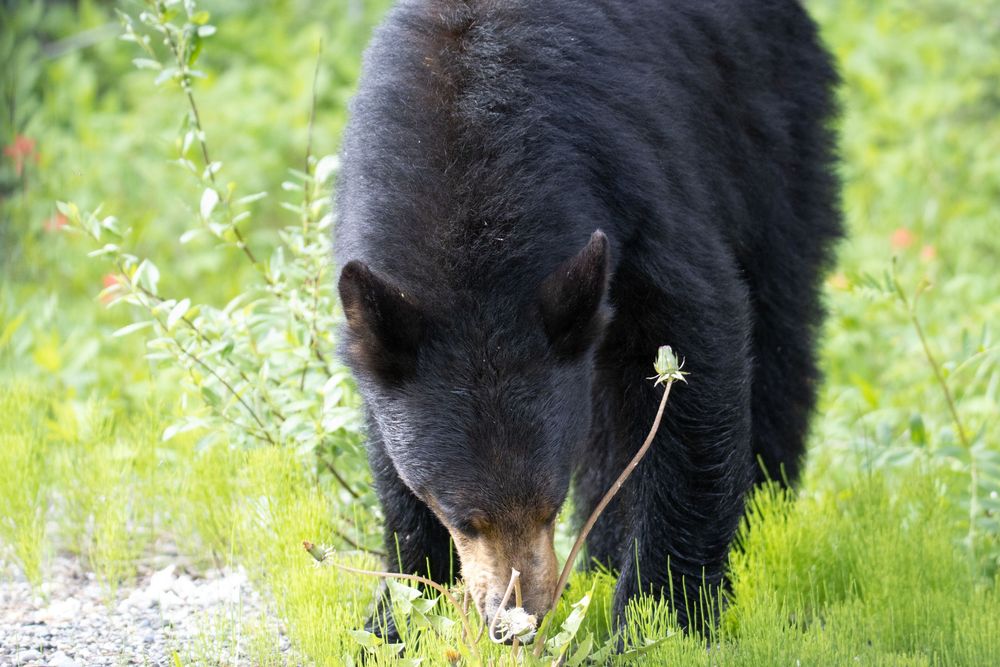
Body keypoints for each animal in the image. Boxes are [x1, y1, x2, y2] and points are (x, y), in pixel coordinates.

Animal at [334, 0, 840, 640]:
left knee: (778, 325)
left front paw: (660, 620)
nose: (519, 620)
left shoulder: (629, 180)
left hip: (769, 131)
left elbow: (696, 341)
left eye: (551, 504)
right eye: (464, 517)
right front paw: (398, 618)